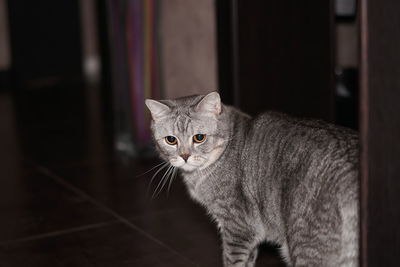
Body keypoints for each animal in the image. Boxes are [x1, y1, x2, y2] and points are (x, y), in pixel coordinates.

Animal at [145, 92, 358, 267]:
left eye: (199, 137)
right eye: (171, 140)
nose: (185, 156)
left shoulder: (237, 227)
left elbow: (232, 261)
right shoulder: (249, 234)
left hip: (307, 246)